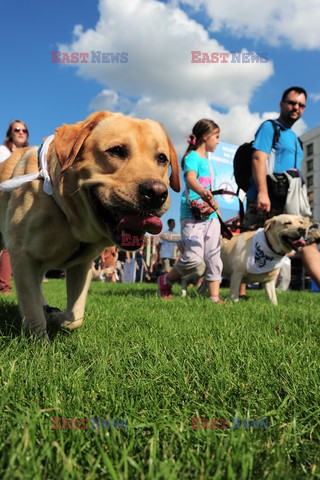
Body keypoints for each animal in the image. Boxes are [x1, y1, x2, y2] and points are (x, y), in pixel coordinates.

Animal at [0, 111, 180, 338]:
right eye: (117, 150)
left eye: (162, 158)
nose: (156, 193)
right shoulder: (21, 256)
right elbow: (33, 313)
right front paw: (39, 341)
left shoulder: (82, 265)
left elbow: (75, 316)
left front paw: (58, 318)